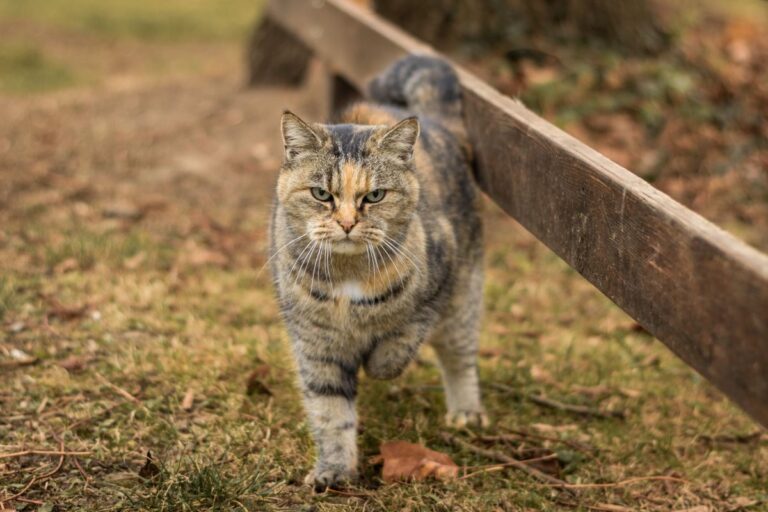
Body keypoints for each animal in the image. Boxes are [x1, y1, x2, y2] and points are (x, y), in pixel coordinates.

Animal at [270, 54, 486, 490]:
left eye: (374, 195)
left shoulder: (437, 286)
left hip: (463, 299)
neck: (347, 276)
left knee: (460, 355)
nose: (347, 223)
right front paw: (334, 471)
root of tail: (435, 120)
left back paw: (465, 413)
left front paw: (376, 362)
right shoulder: (315, 345)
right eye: (321, 193)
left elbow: (399, 343)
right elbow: (330, 411)